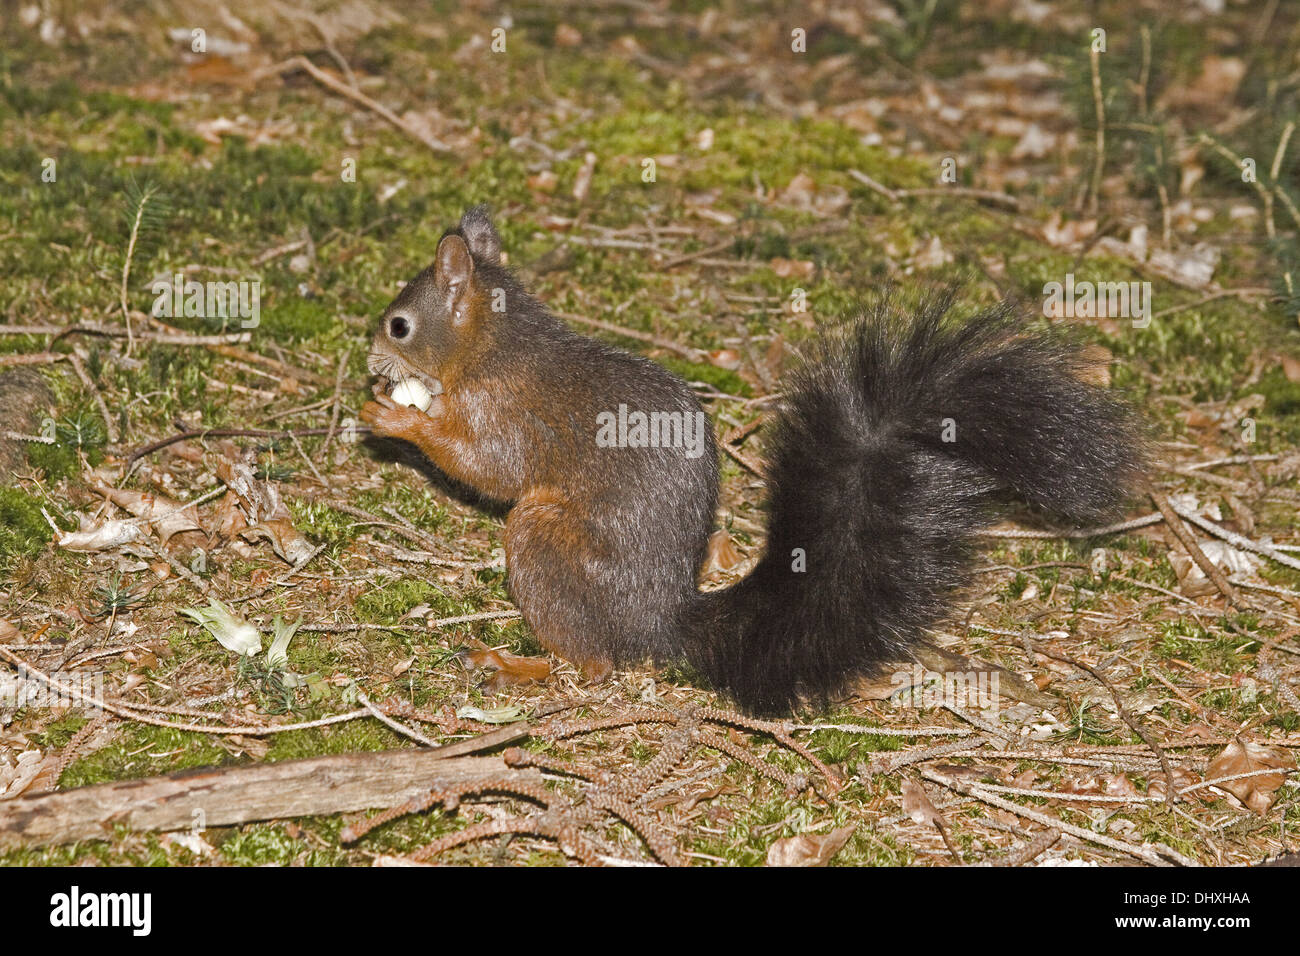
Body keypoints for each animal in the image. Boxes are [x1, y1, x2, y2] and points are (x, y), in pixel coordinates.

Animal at [361, 210, 1144, 717]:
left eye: (399, 325)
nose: (370, 360)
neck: (493, 346)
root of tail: (661, 621)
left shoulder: (508, 413)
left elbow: (487, 468)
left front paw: (397, 417)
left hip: (543, 539)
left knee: (594, 660)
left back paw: (519, 663)